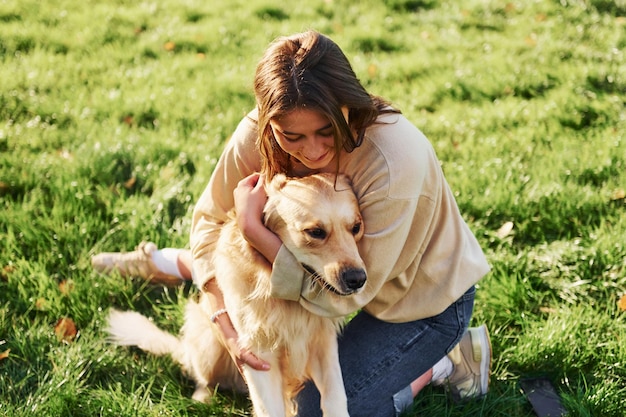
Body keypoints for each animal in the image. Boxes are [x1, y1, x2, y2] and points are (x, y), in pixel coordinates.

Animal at [105, 172, 364, 416]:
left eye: (356, 228)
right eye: (315, 232)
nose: (358, 279)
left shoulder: (323, 344)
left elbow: (334, 397)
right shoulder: (257, 356)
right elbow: (270, 409)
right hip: (207, 341)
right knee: (201, 377)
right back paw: (202, 398)